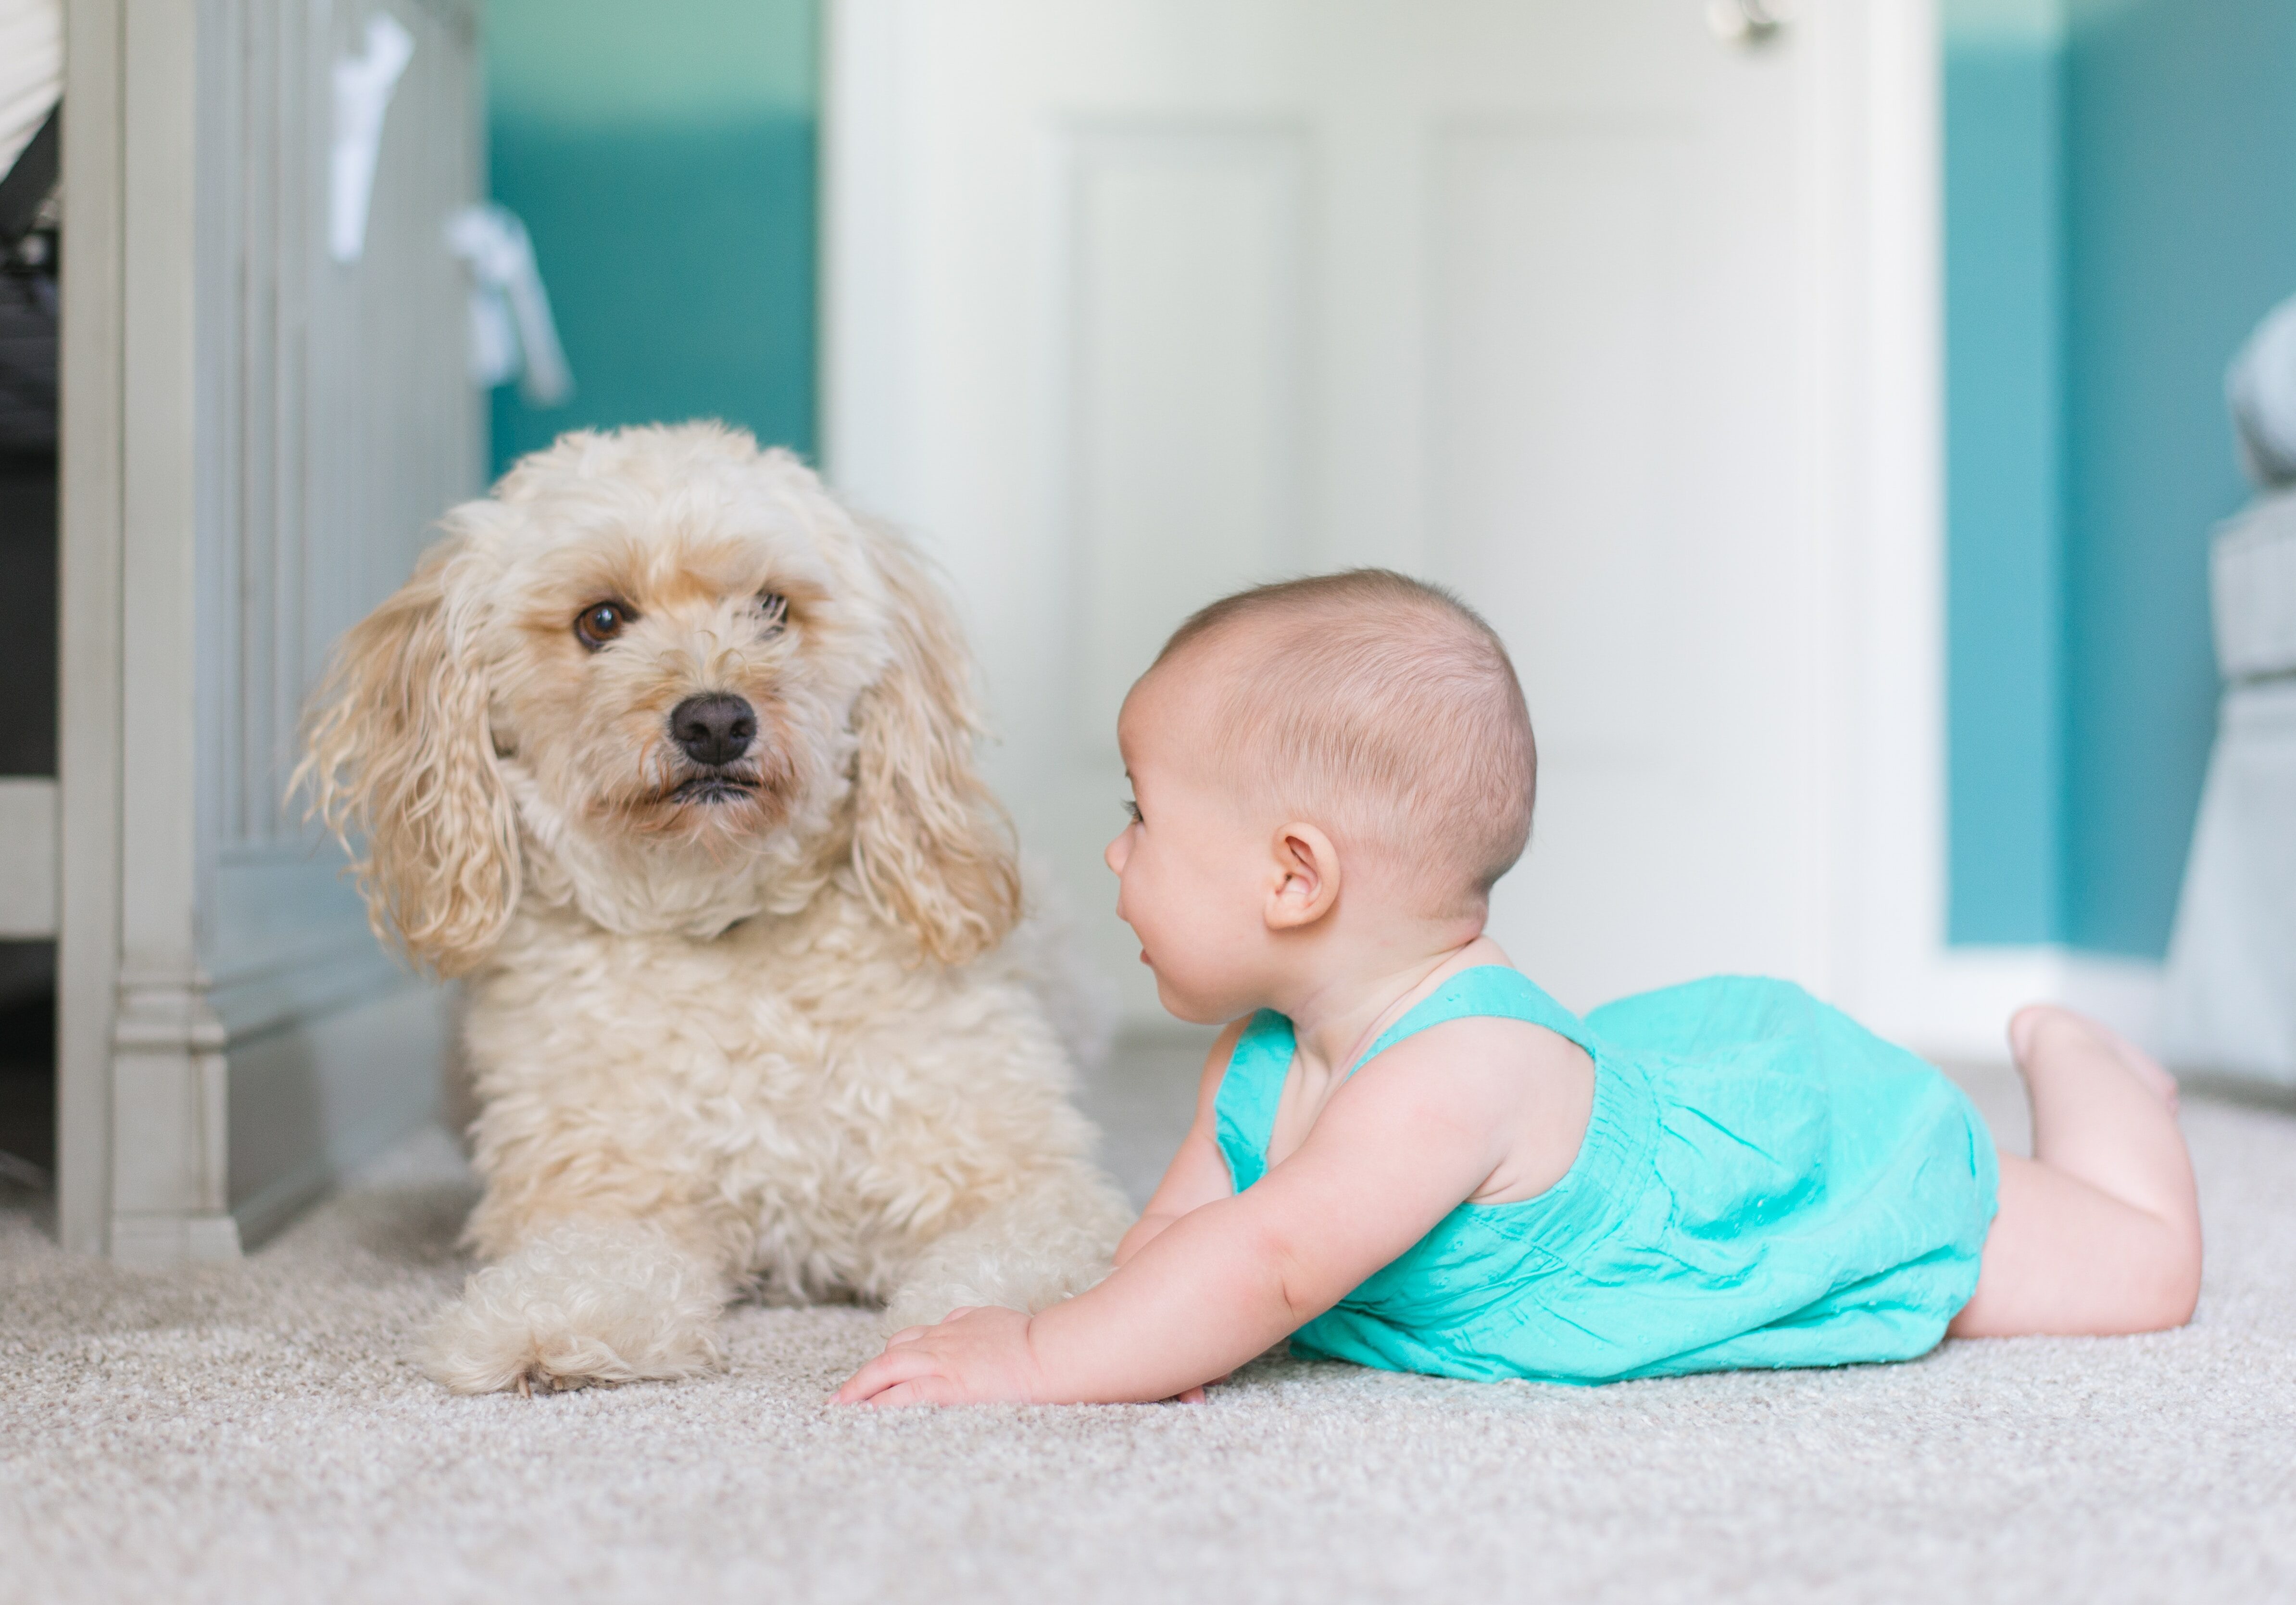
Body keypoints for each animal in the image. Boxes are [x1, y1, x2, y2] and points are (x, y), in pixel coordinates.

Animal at [301, 425, 1134, 1396]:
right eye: (601, 621)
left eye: (773, 608)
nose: (714, 722)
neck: (720, 921)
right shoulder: (605, 1192)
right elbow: (593, 1262)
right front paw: (547, 1323)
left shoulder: (1019, 1179)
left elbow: (1032, 1258)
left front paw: (1003, 1334)